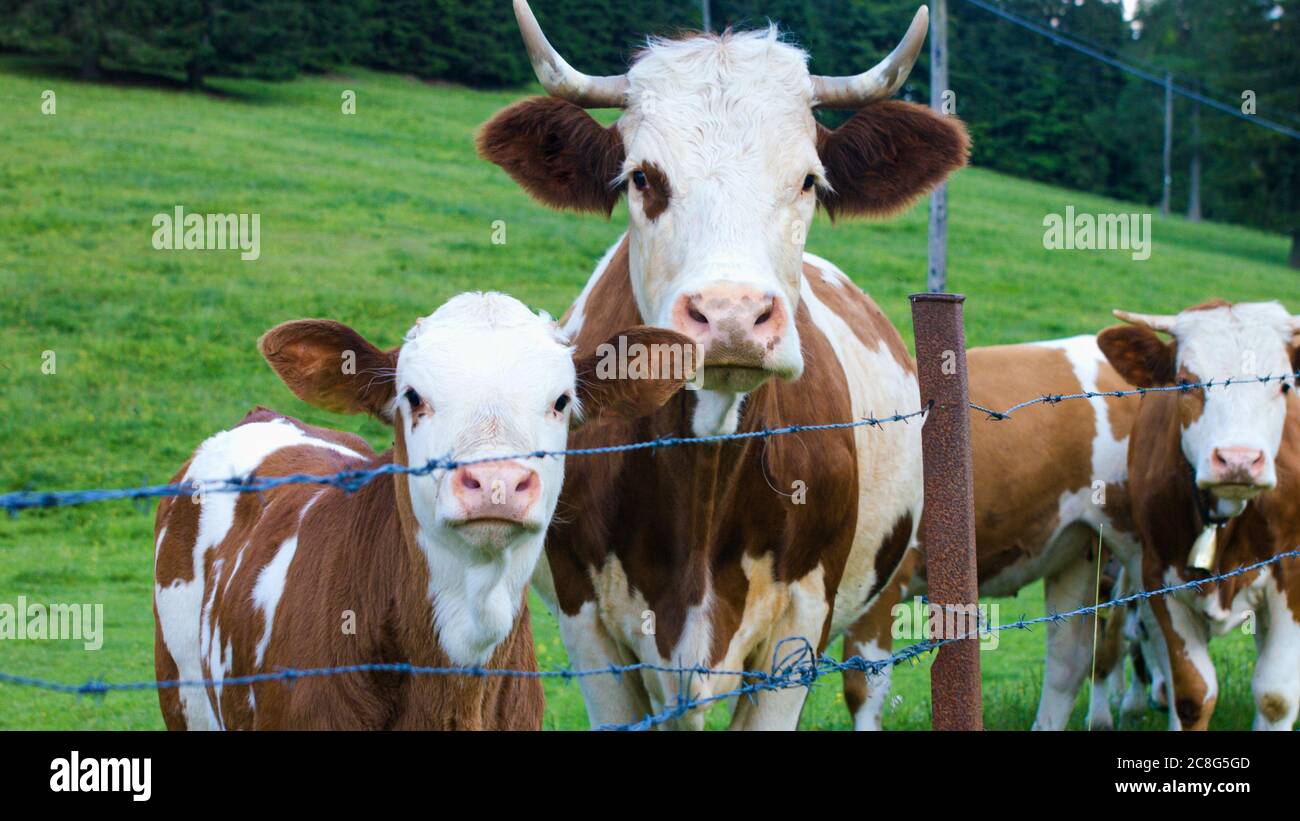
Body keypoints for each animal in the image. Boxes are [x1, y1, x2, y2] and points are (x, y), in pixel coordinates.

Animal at [478, 1, 967, 732]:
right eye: (642, 177)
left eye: (808, 180)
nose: (731, 314)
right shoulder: (586, 624)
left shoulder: (801, 624)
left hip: (889, 585)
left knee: (867, 683)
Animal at [1097, 301, 1300, 732]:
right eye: (1185, 382)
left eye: (1284, 385)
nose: (1239, 460)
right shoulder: (1159, 574)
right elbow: (1191, 694)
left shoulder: (1292, 574)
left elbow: (1275, 697)